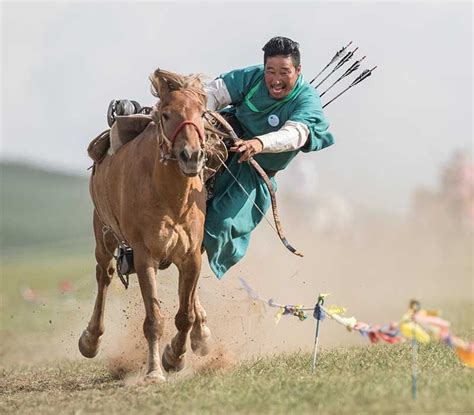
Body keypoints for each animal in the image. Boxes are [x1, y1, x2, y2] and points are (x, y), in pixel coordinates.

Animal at [79, 68, 211, 384]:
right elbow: (154, 320)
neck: (171, 198)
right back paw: (90, 339)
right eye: (166, 114)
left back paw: (200, 334)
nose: (191, 156)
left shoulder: (192, 257)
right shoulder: (143, 256)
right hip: (104, 235)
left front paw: (175, 357)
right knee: (104, 275)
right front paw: (154, 371)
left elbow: (184, 315)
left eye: (202, 113)